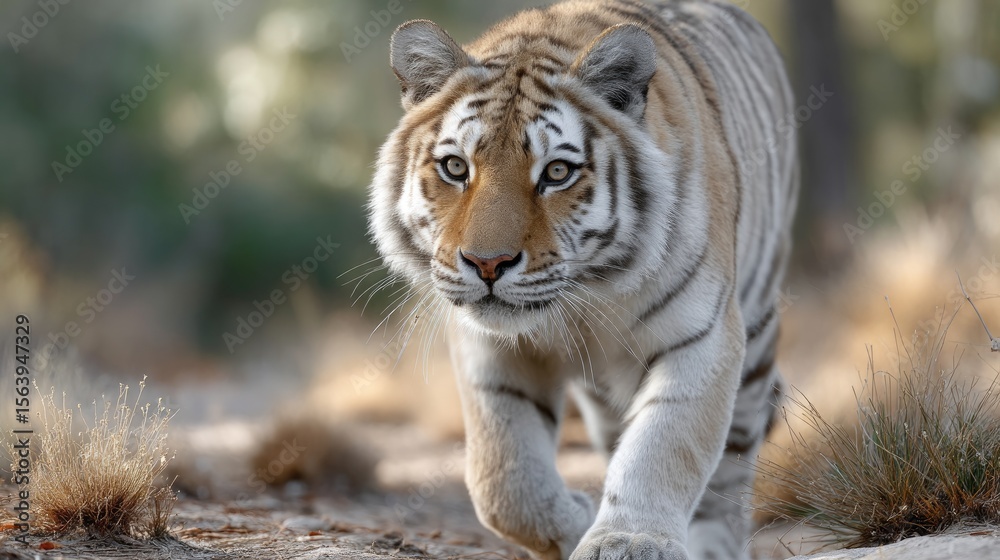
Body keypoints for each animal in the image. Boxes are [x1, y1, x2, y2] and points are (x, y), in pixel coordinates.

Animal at [368, 1, 798, 558]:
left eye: (556, 173)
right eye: (456, 167)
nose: (487, 264)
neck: (587, 295)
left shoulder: (702, 337)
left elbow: (664, 446)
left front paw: (628, 541)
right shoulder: (489, 350)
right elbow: (503, 479)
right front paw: (575, 523)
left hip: (758, 330)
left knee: (729, 471)